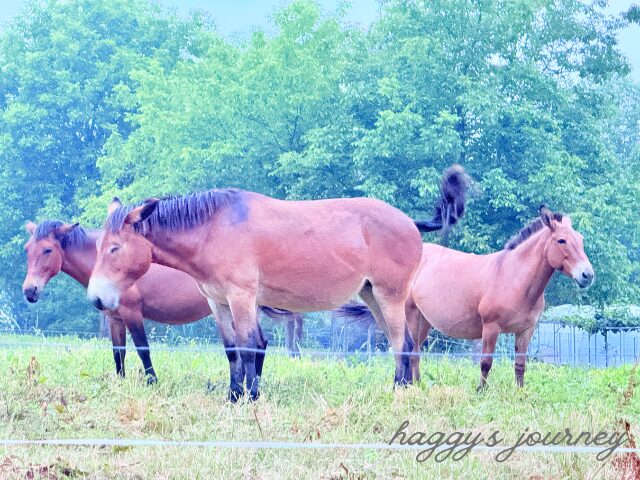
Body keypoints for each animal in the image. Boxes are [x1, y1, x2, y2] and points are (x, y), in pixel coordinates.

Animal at [22, 221, 304, 384]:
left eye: (47, 250)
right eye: (27, 249)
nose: (29, 291)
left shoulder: (132, 313)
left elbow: (142, 349)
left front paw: (151, 381)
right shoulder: (115, 318)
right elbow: (118, 352)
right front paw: (120, 382)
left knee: (257, 343)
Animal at [87, 166, 468, 401]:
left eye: (114, 248)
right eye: (99, 246)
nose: (97, 298)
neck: (213, 230)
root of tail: (409, 221)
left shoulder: (241, 297)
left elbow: (249, 347)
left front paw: (249, 398)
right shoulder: (218, 302)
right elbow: (232, 350)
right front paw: (233, 395)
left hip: (390, 297)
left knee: (402, 343)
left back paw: (398, 392)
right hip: (373, 296)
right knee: (403, 343)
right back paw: (406, 388)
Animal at [338, 206, 595, 390]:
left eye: (581, 239)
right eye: (561, 240)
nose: (587, 275)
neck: (514, 278)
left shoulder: (526, 330)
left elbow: (520, 365)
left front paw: (520, 392)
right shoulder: (491, 328)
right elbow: (486, 362)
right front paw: (481, 391)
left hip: (424, 321)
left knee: (415, 352)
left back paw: (419, 386)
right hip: (411, 316)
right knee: (409, 350)